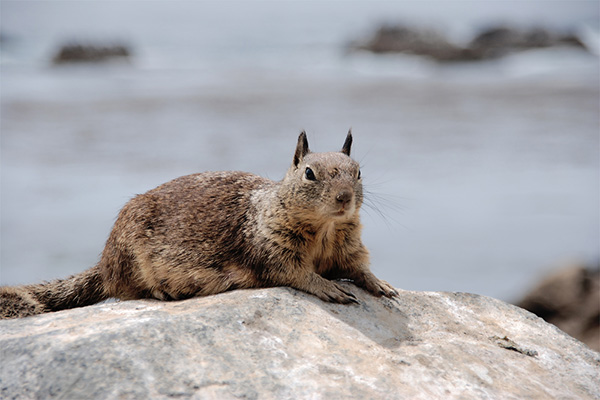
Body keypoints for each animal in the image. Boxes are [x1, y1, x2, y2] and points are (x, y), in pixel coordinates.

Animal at [0, 131, 398, 318]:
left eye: (358, 173)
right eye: (310, 173)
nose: (344, 198)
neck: (325, 231)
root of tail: (104, 262)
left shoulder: (349, 247)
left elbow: (359, 268)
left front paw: (382, 284)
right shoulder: (272, 250)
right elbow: (296, 274)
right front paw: (328, 287)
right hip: (129, 258)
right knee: (127, 289)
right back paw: (164, 293)